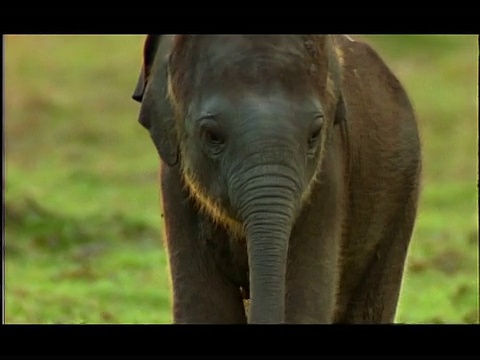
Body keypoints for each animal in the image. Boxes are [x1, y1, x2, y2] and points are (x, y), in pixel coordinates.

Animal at [131, 35, 420, 324]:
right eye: (212, 136)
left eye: (314, 134)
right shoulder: (175, 184)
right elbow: (204, 308)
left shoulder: (327, 178)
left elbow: (304, 305)